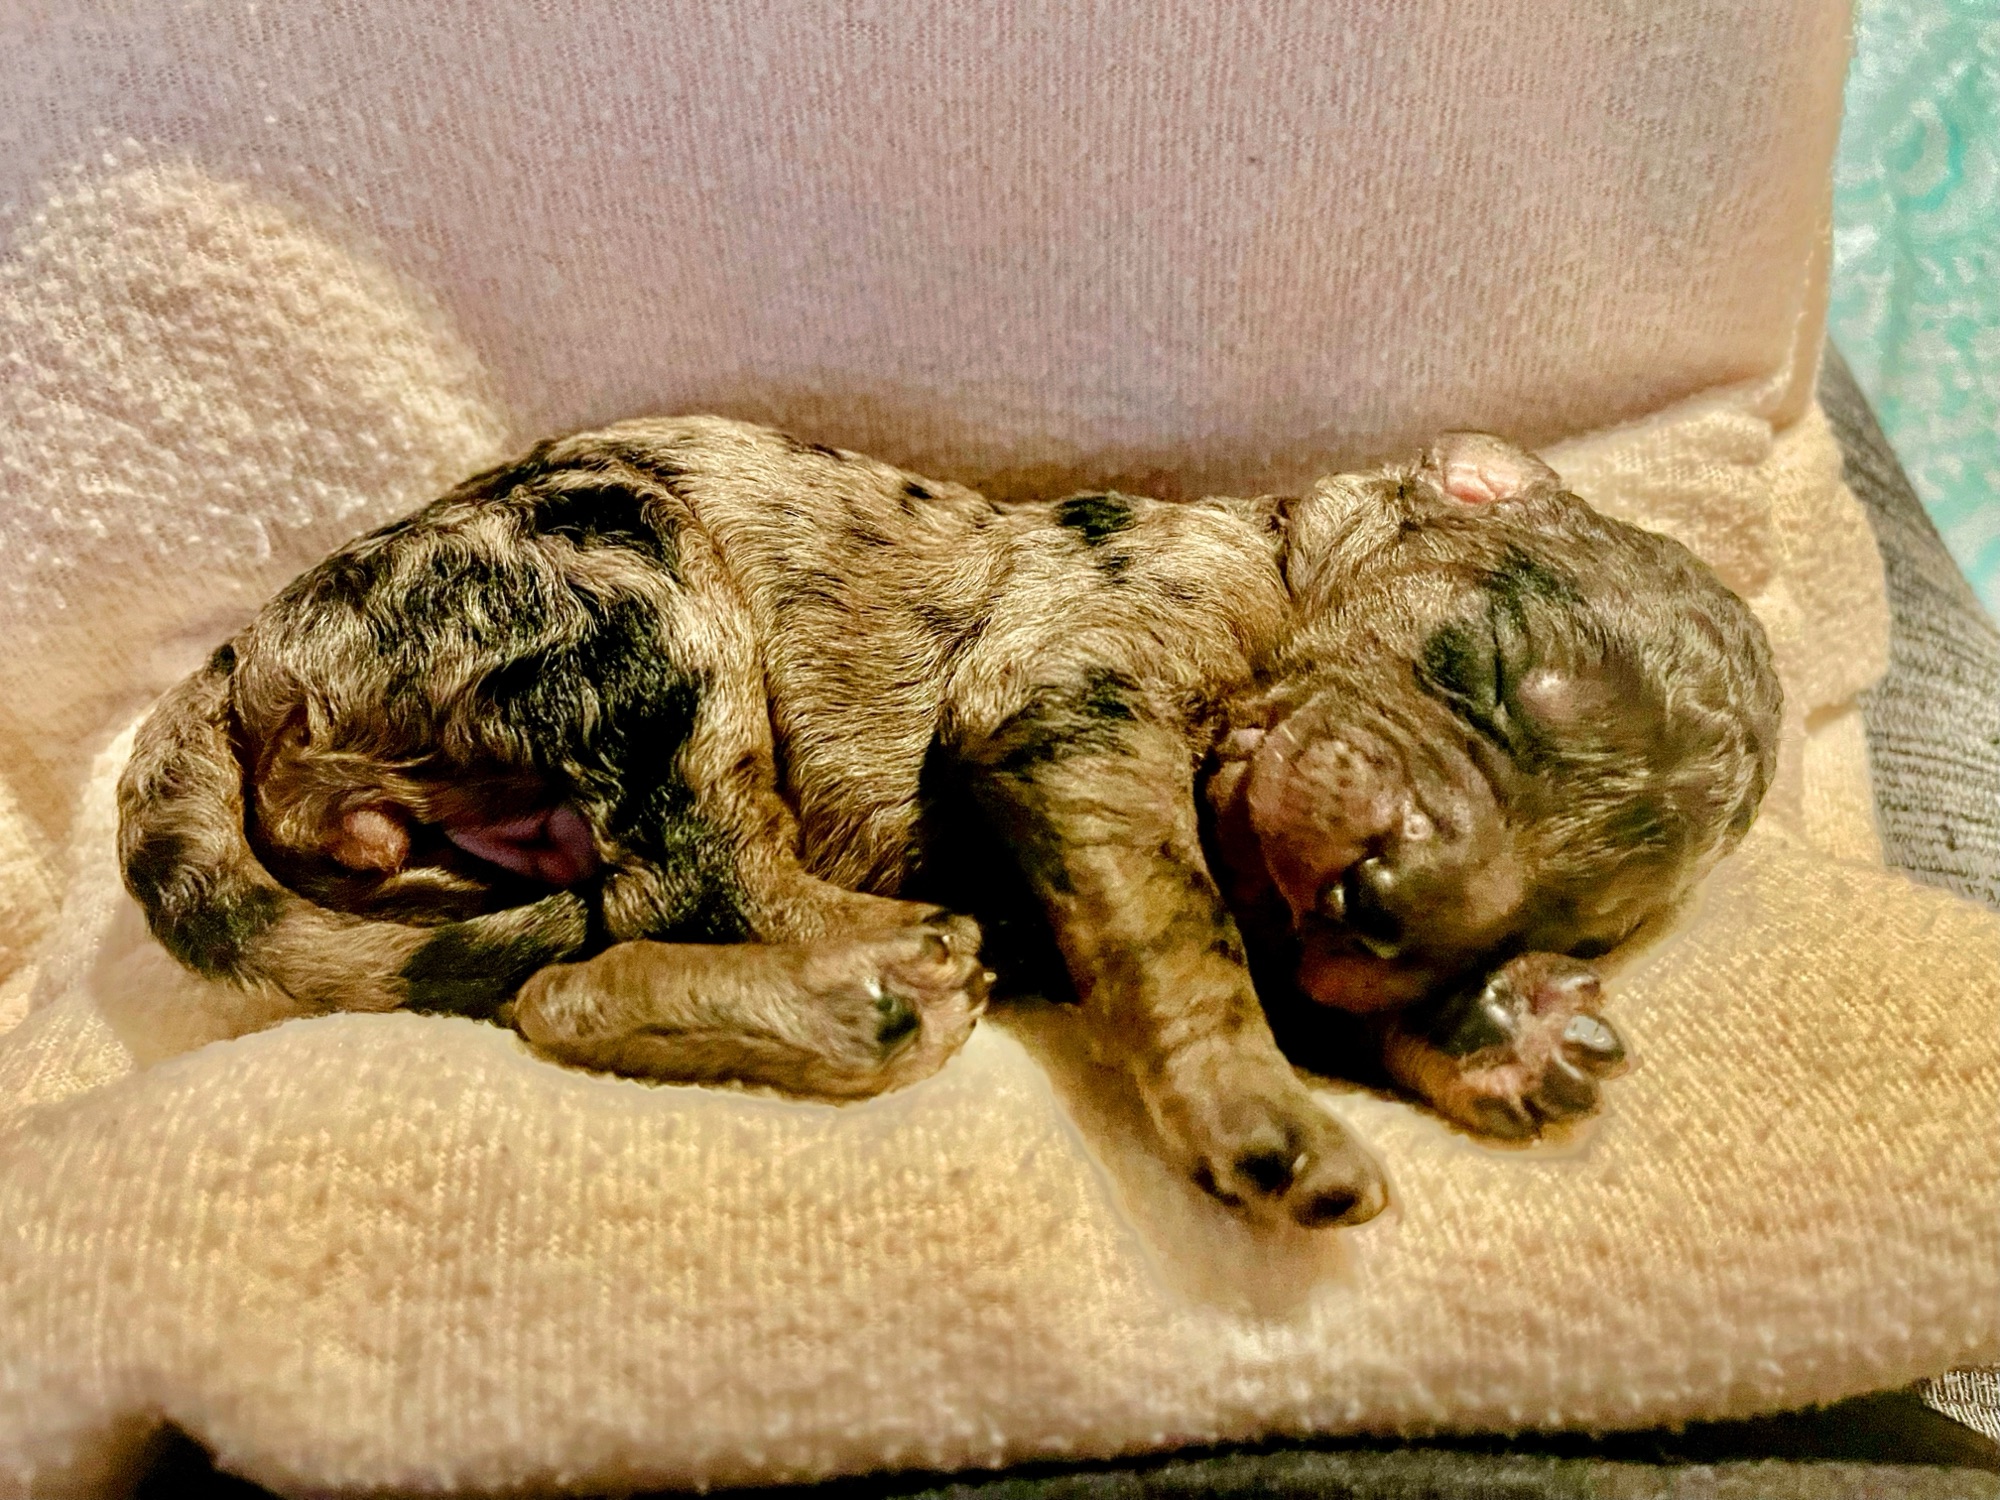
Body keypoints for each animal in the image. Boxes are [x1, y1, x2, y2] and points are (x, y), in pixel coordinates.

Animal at [118, 418, 1781, 1229]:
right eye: (1482, 676)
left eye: (1575, 917)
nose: (1380, 905)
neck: (1277, 566)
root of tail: (245, 665)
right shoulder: (1078, 698)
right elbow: (1188, 942)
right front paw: (1263, 1118)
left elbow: (1294, 971)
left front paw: (1499, 1030)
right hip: (637, 586)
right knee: (681, 886)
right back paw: (865, 969)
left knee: (569, 970)